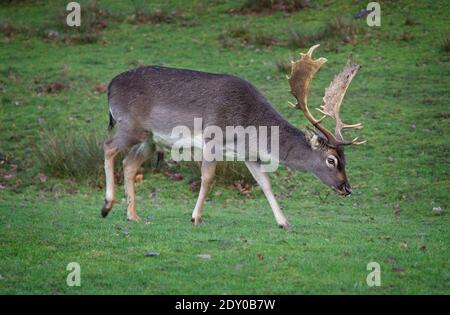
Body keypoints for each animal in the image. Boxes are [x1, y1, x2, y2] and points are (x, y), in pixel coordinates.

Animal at [100, 44, 364, 228]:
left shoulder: (249, 155)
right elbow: (208, 178)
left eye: (345, 159)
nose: (347, 188)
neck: (251, 129)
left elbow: (265, 183)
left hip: (151, 139)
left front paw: (284, 222)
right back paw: (106, 206)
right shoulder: (212, 139)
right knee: (108, 146)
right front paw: (196, 217)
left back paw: (133, 216)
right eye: (331, 160)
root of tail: (110, 86)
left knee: (129, 163)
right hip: (130, 125)